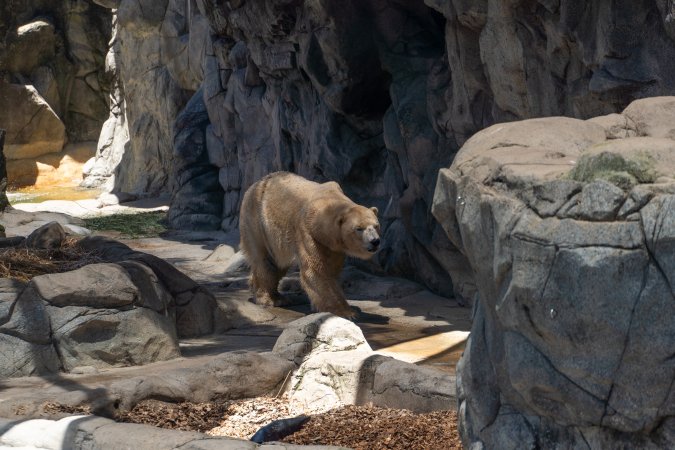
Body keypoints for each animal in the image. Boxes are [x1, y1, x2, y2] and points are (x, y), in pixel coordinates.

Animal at [239, 171, 381, 318]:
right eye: (359, 228)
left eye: (376, 225)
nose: (375, 241)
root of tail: (255, 184)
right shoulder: (307, 232)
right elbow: (316, 271)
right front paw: (346, 312)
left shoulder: (332, 244)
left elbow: (331, 270)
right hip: (257, 222)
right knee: (265, 259)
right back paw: (271, 299)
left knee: (278, 264)